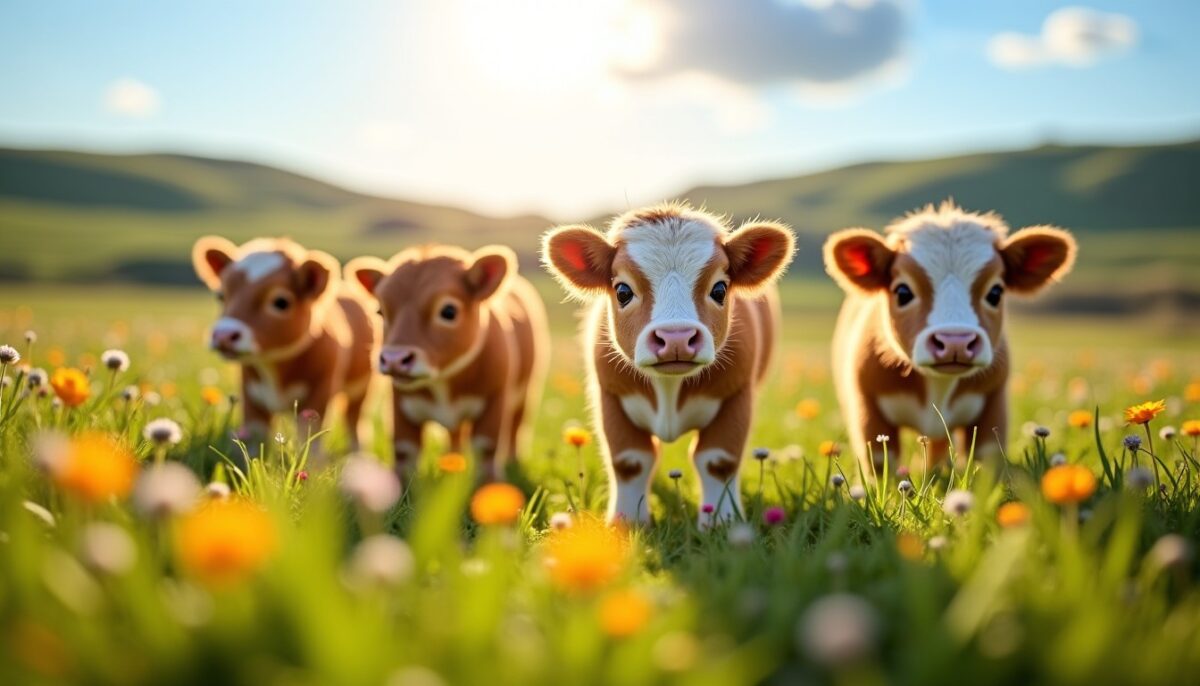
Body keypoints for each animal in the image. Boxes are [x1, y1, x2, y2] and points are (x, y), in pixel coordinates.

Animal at [191, 237, 377, 447]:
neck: (274, 367)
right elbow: (255, 435)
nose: (223, 335)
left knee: (354, 420)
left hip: (361, 386)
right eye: (221, 296)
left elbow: (310, 437)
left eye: (281, 302)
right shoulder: (251, 395)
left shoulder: (320, 393)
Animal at [344, 245, 548, 481]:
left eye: (449, 311)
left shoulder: (495, 400)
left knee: (516, 427)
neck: (442, 381)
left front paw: (491, 485)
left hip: (525, 393)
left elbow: (486, 447)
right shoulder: (401, 406)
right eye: (380, 312)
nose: (394, 359)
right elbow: (405, 450)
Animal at [542, 203, 795, 525]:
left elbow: (718, 460)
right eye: (623, 291)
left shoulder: (736, 395)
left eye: (720, 290)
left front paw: (720, 523)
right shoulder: (611, 396)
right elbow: (630, 461)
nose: (677, 337)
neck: (669, 388)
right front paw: (627, 523)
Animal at [823, 201, 1077, 474]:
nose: (956, 342)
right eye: (903, 292)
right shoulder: (868, 405)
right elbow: (880, 461)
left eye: (995, 292)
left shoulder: (994, 402)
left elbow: (986, 458)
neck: (939, 387)